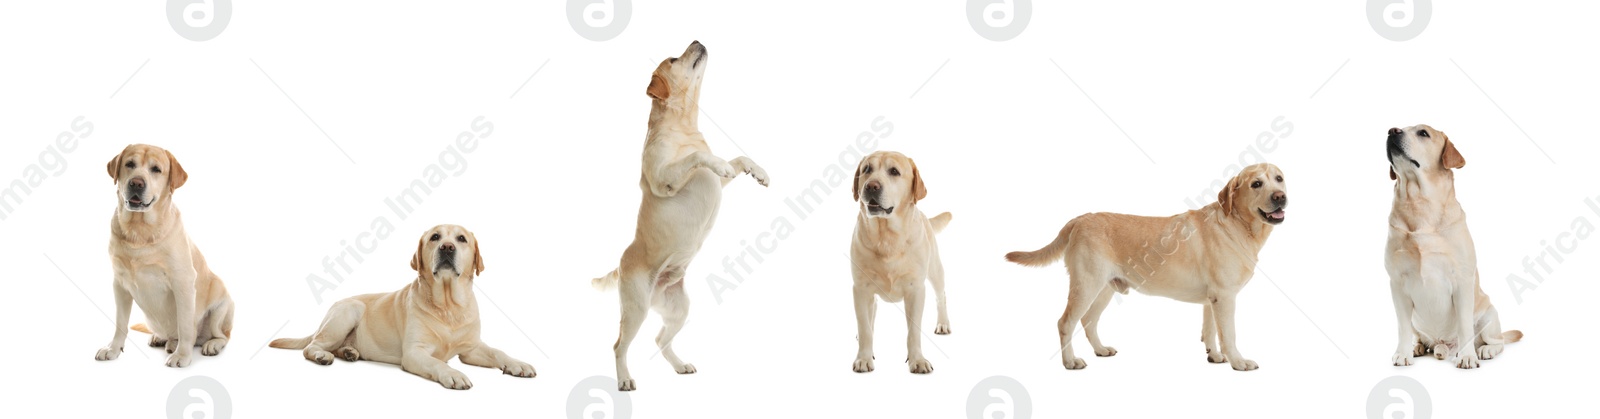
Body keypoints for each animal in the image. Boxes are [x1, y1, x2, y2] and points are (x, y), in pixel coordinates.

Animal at [94, 143, 233, 366]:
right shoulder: (120, 285)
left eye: (156, 169)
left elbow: (185, 325)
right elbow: (120, 323)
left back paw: (209, 344)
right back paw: (163, 340)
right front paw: (113, 349)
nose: (136, 183)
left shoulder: (183, 283)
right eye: (129, 164)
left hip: (221, 305)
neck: (140, 231)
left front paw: (182, 356)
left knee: (219, 335)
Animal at [267, 225, 531, 390]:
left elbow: (498, 352)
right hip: (348, 311)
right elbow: (437, 362)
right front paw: (453, 374)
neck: (448, 306)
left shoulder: (471, 348)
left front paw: (518, 363)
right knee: (312, 346)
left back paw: (350, 352)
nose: (447, 247)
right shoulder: (414, 353)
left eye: (461, 239)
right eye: (435, 237)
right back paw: (323, 355)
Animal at [592, 40, 771, 393]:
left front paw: (758, 172)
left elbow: (737, 159)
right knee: (619, 345)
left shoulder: (717, 183)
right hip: (635, 309)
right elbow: (700, 157)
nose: (698, 41)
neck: (684, 126)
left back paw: (680, 365)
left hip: (678, 308)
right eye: (674, 59)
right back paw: (624, 379)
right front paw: (718, 162)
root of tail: (621, 265)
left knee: (661, 339)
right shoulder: (664, 179)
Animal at [851, 151, 947, 374]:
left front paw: (917, 360)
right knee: (870, 316)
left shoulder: (916, 290)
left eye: (894, 171)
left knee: (941, 297)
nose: (871, 186)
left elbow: (913, 332)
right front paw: (864, 358)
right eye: (867, 169)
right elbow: (865, 327)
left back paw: (943, 324)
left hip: (935, 271)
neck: (886, 237)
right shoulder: (860, 288)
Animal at [1388, 123, 1523, 366]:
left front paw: (1468, 357)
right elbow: (1401, 328)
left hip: (1489, 315)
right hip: (1416, 322)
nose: (1391, 131)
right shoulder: (1397, 285)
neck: (1419, 205)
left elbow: (1464, 326)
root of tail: (1444, 345)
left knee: (1497, 341)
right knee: (1422, 339)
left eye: (1423, 133)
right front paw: (1403, 353)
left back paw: (1483, 350)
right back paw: (1419, 348)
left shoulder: (1462, 282)